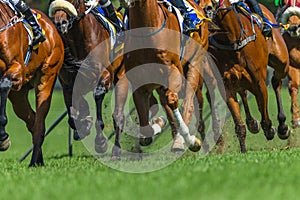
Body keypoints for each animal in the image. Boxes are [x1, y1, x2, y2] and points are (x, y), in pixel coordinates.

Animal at [0, 2, 63, 166]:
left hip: (46, 78)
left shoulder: (18, 69)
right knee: (32, 121)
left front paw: (2, 136)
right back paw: (38, 159)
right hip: (18, 97)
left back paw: (34, 161)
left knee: (39, 123)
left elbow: (4, 83)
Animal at [48, 0, 128, 159]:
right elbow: (73, 116)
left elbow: (97, 98)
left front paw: (101, 142)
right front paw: (84, 126)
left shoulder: (105, 77)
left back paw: (116, 151)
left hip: (121, 77)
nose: (60, 23)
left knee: (118, 116)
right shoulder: (68, 85)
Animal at [205, 0, 290, 152]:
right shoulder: (227, 84)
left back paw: (282, 126)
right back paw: (253, 124)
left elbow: (265, 116)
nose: (207, 8)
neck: (232, 38)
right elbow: (239, 125)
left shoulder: (259, 81)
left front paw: (270, 129)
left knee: (276, 82)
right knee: (245, 92)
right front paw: (243, 150)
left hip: (282, 62)